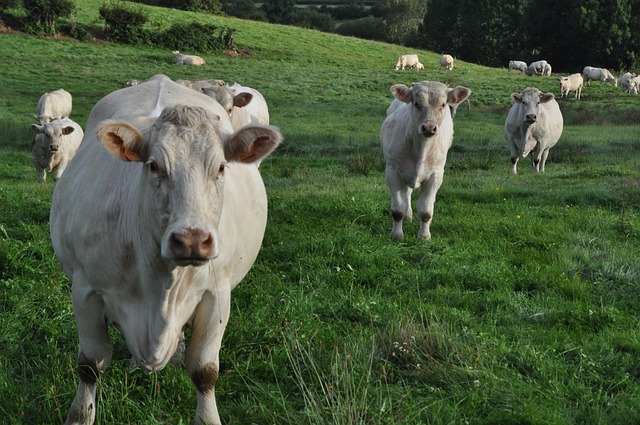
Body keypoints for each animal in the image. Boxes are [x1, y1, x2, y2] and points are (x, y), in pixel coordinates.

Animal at [53, 73, 284, 424]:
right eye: (153, 166)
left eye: (221, 167)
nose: (192, 239)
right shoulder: (85, 291)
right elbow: (90, 365)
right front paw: (81, 414)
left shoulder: (216, 296)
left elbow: (204, 370)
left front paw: (207, 415)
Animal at [380, 80, 470, 240]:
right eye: (416, 103)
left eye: (443, 104)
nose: (429, 128)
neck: (421, 149)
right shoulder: (393, 172)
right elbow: (398, 210)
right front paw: (397, 236)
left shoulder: (436, 175)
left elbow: (426, 211)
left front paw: (424, 236)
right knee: (407, 195)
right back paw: (408, 215)